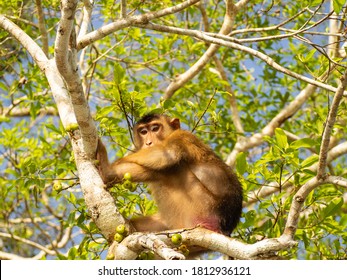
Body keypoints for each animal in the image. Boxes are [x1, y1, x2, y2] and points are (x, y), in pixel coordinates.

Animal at [96, 113, 243, 234]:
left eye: (155, 128)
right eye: (143, 132)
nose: (148, 143)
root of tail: (224, 227)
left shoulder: (181, 136)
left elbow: (168, 154)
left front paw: (111, 168)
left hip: (203, 207)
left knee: (173, 168)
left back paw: (106, 172)